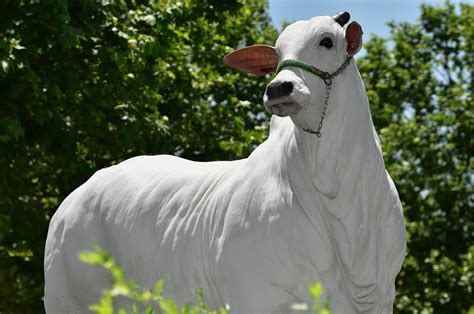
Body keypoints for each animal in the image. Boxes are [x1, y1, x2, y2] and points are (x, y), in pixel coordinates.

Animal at [44, 12, 406, 314]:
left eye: (327, 41)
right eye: (277, 53)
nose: (279, 89)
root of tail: (73, 198)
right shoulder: (254, 298)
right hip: (66, 299)